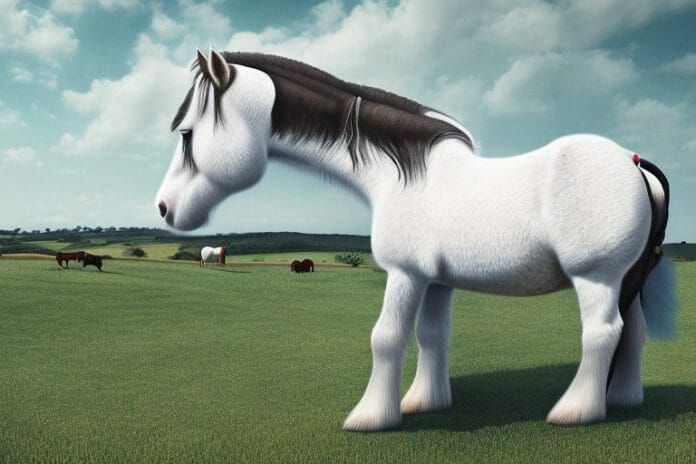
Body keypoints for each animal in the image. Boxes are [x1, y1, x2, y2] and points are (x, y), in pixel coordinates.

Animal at [155, 50, 677, 431]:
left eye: (187, 134)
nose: (164, 208)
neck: (401, 175)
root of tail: (634, 165)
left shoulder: (404, 275)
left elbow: (387, 338)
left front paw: (371, 417)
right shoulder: (436, 281)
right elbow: (432, 337)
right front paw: (425, 402)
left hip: (596, 279)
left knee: (602, 334)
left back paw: (575, 411)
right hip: (626, 280)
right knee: (632, 334)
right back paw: (623, 401)